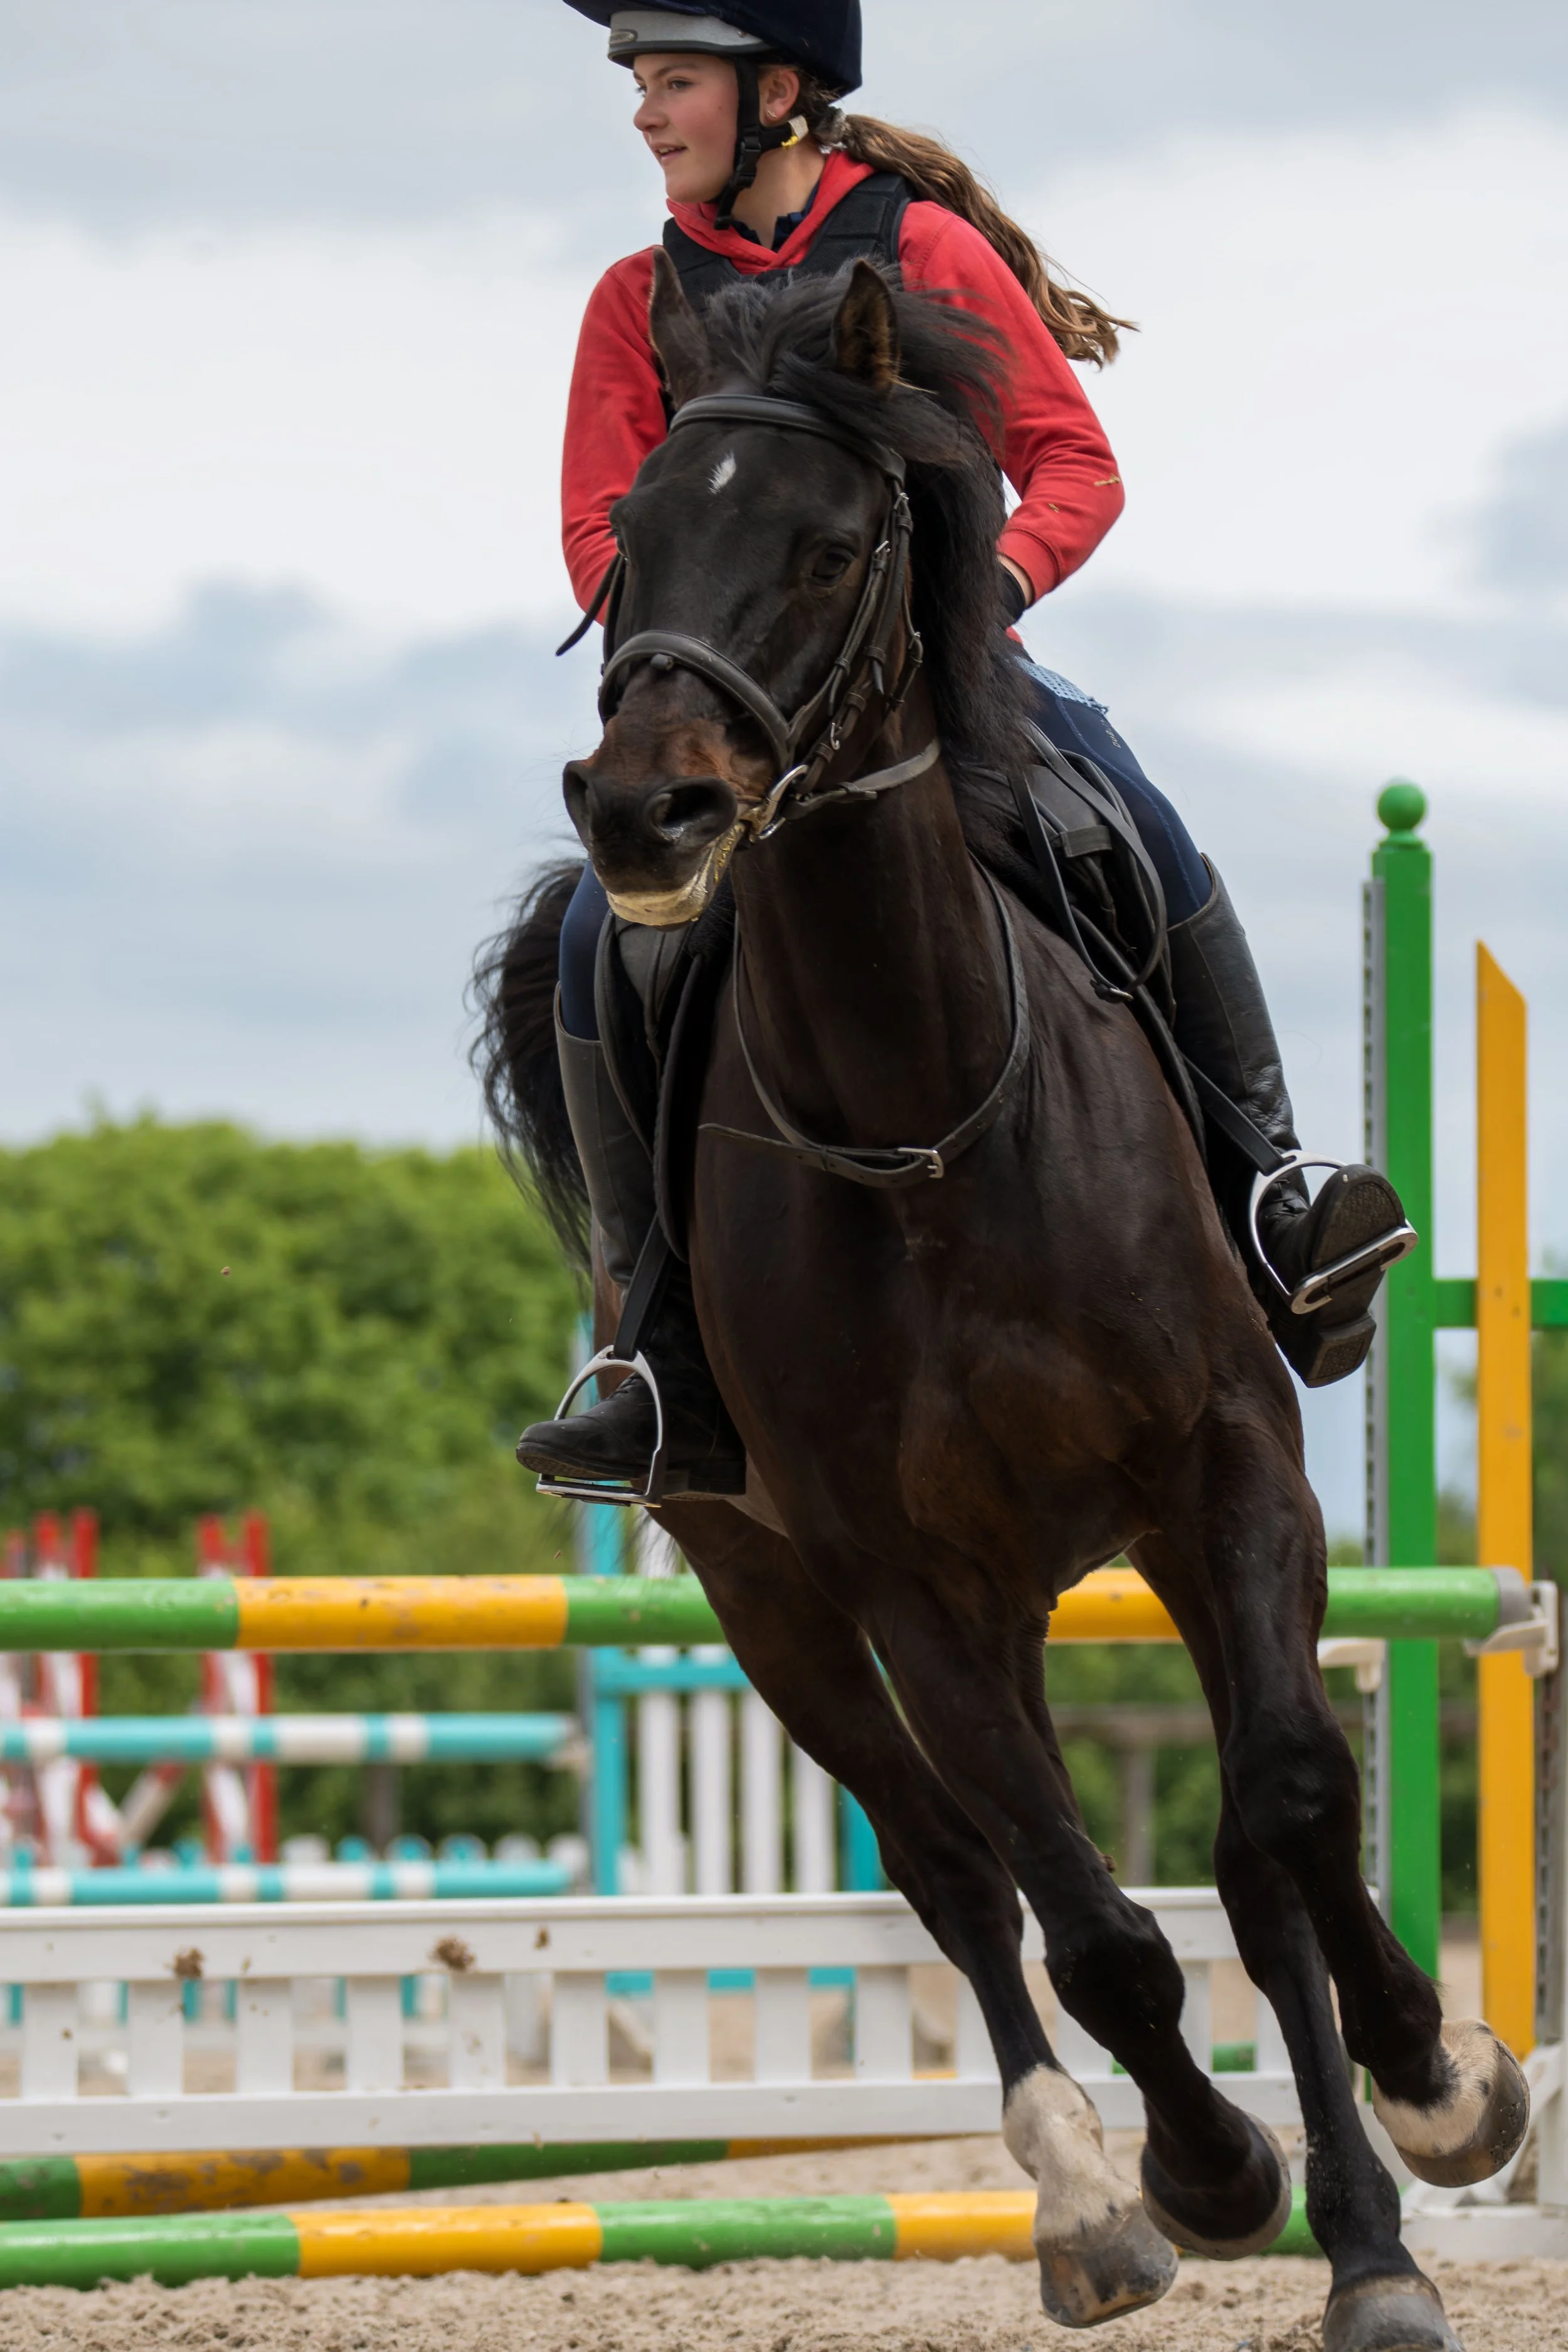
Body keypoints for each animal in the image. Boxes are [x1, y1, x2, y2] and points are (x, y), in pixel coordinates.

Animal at [476, 255, 1523, 2348]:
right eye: (630, 540)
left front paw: (1421, 2123)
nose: (643, 811)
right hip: (782, 1598)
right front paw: (1207, 2173)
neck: (929, 1112)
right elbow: (1095, 1926)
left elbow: (1289, 1806)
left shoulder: (1229, 1473)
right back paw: (1088, 2198)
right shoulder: (898, 1582)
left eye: (825, 545)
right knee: (956, 1868)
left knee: (1233, 1854)